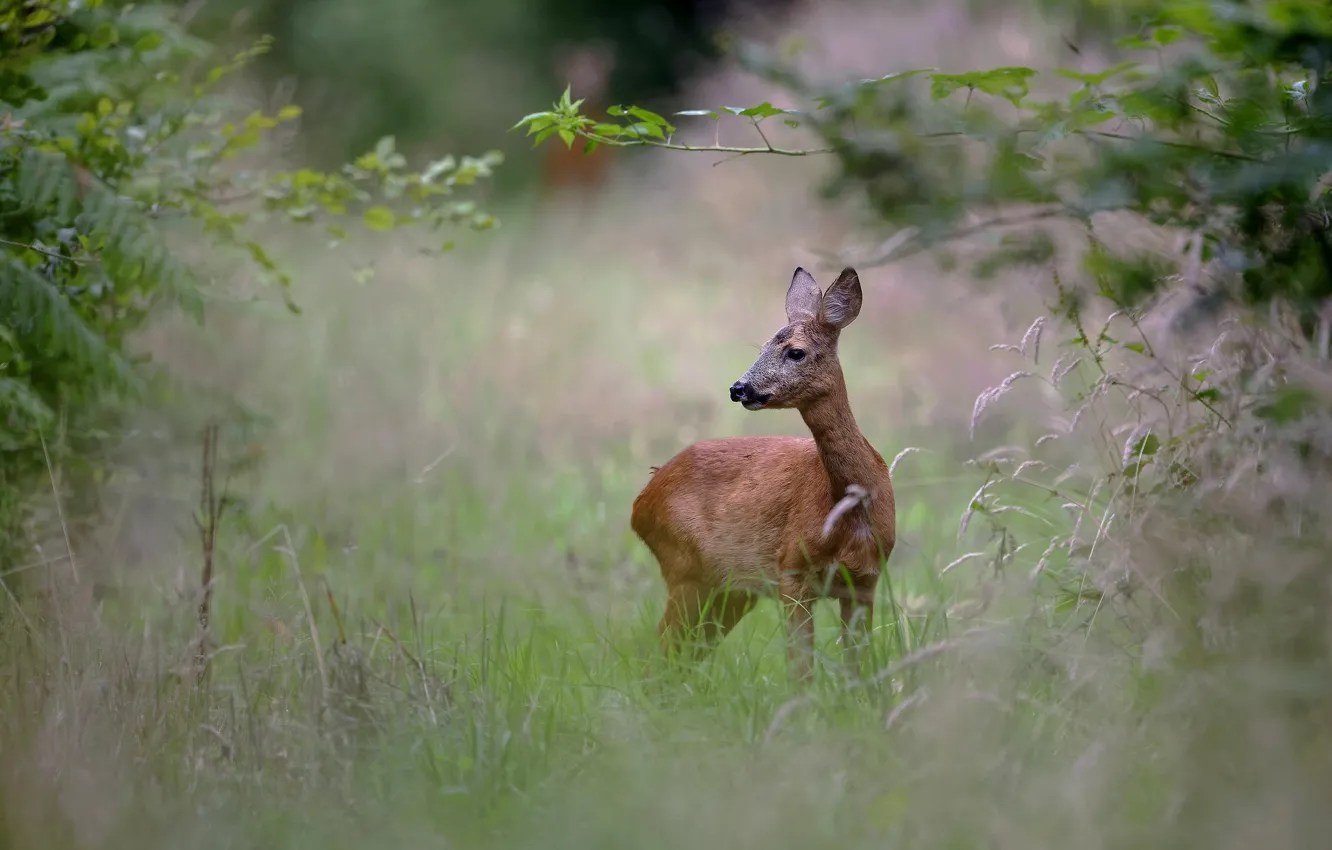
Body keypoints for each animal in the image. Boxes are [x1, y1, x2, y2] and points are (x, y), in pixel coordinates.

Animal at [630, 266, 896, 684]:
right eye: (761, 348)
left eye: (795, 351)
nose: (739, 388)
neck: (849, 509)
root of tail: (642, 498)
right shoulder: (791, 571)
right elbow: (801, 671)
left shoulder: (866, 580)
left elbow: (859, 667)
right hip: (684, 568)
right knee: (662, 646)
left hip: (729, 590)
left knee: (684, 651)